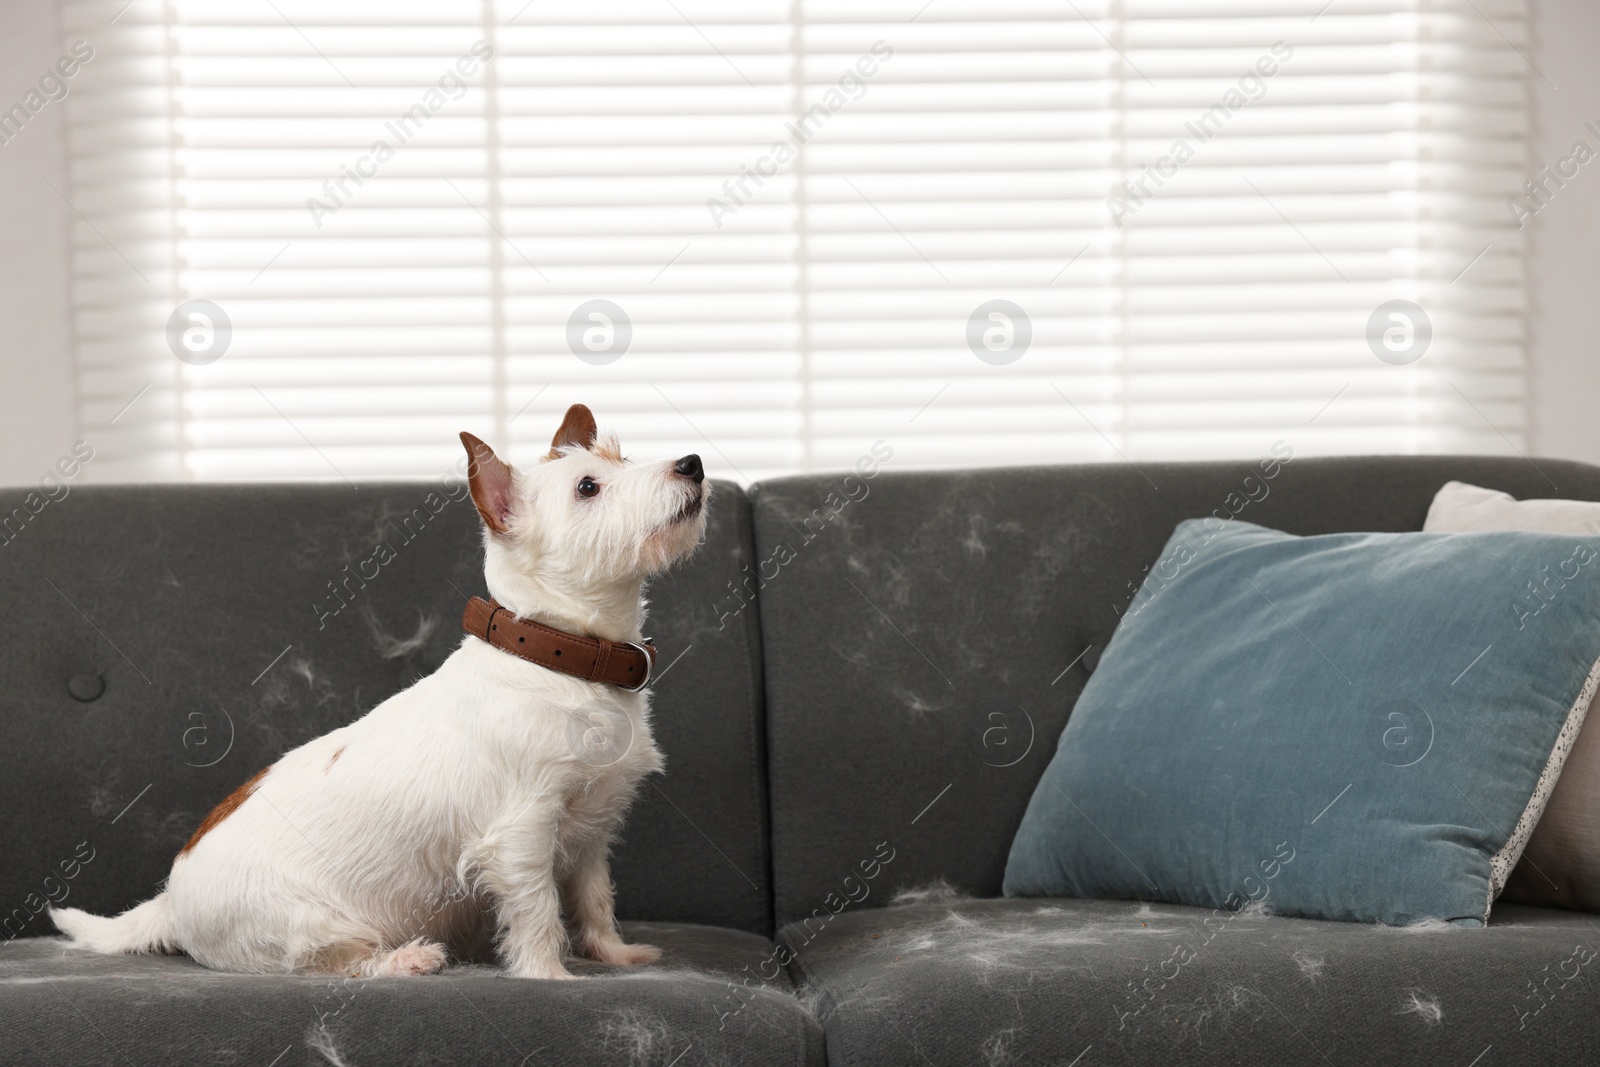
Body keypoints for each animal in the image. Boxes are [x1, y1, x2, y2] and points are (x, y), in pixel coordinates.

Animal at [51, 409, 713, 985]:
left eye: (621, 457)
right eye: (587, 487)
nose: (693, 463)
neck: (563, 657)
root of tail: (169, 900)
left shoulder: (591, 836)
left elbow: (595, 901)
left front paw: (615, 955)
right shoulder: (523, 835)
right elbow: (538, 913)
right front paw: (550, 976)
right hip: (309, 923)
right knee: (330, 962)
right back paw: (407, 959)